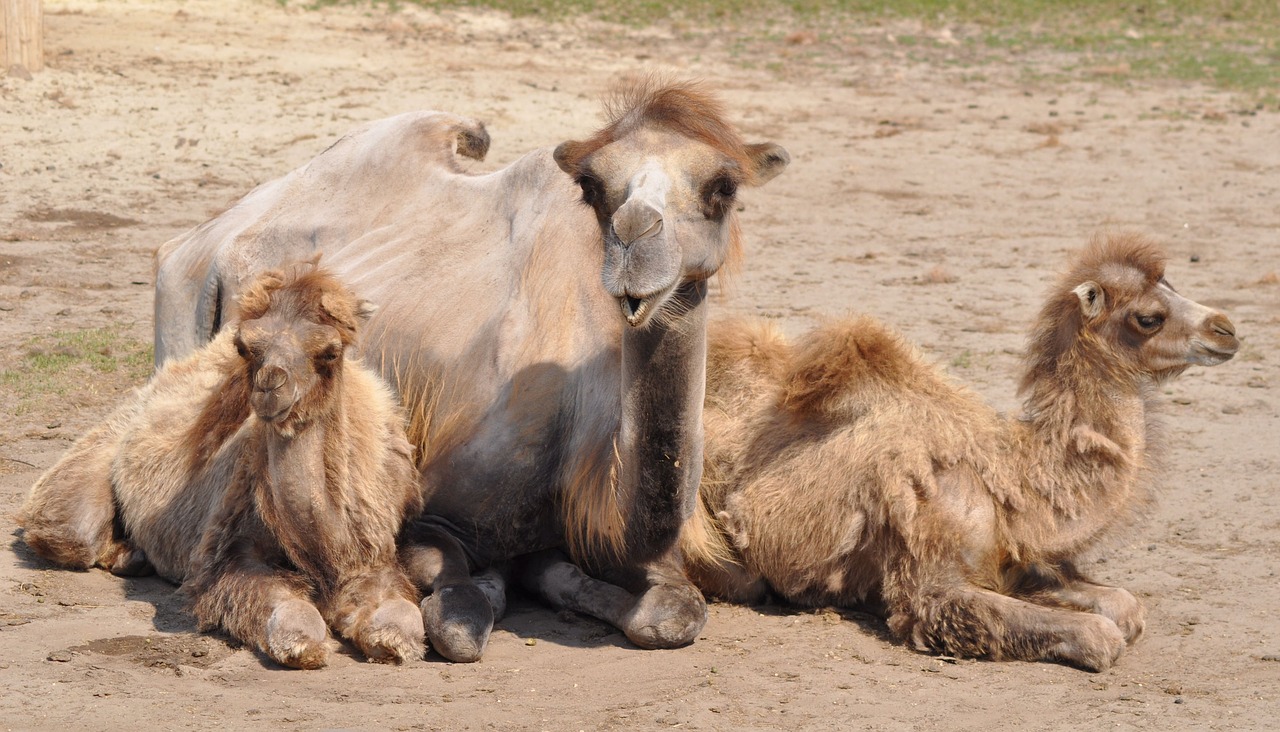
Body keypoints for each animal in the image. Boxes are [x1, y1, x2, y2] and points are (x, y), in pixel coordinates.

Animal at [20, 263, 422, 670]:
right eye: (244, 347)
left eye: (330, 352)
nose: (270, 387)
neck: (321, 550)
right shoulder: (227, 556)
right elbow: (293, 619)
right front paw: (304, 647)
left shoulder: (371, 555)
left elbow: (403, 619)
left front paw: (388, 641)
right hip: (101, 448)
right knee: (72, 534)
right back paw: (127, 557)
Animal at [152, 77, 788, 660]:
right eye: (592, 186)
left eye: (723, 186)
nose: (635, 240)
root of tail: (198, 237)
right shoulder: (427, 517)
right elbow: (458, 622)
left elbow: (674, 612)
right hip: (181, 299)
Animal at [691, 232, 1239, 670]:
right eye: (1149, 317)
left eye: (1173, 286)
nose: (1227, 329)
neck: (1009, 475)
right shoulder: (931, 577)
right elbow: (1100, 636)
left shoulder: (1010, 558)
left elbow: (1125, 606)